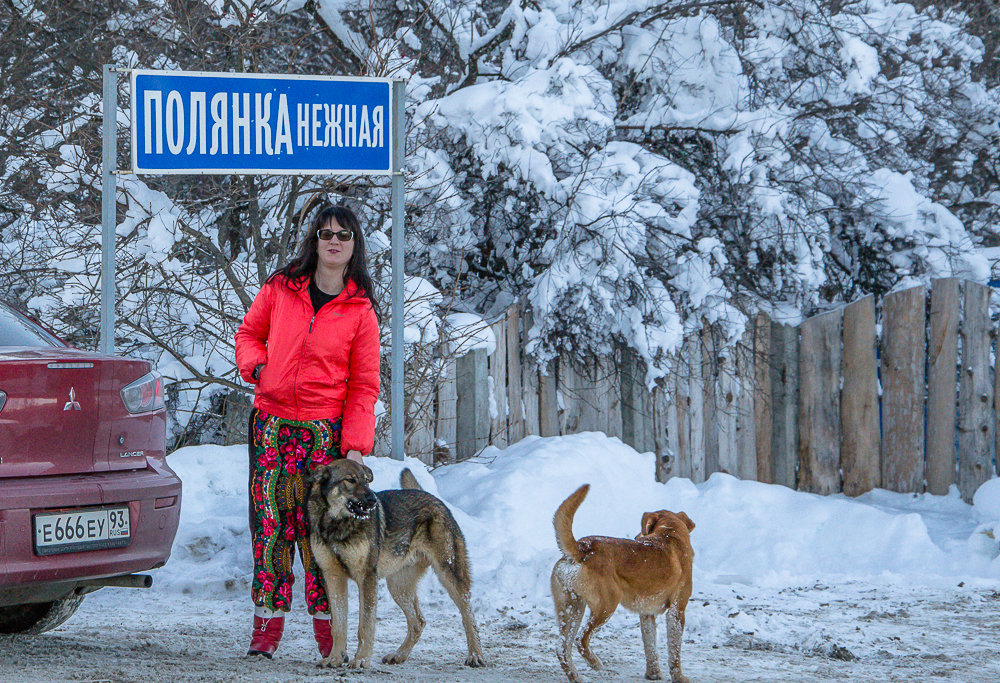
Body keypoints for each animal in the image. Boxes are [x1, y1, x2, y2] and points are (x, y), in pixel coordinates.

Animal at [308, 456, 488, 672]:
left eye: (366, 481)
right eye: (350, 480)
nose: (373, 500)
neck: (338, 525)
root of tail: (432, 497)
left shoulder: (366, 578)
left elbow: (365, 626)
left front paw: (361, 660)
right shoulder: (334, 578)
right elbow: (338, 626)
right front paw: (334, 658)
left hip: (449, 574)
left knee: (468, 614)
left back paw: (476, 655)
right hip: (398, 586)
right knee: (418, 621)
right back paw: (399, 655)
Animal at [548, 484, 696, 680]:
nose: (636, 536)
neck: (669, 533)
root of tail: (582, 548)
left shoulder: (647, 614)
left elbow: (650, 647)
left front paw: (653, 674)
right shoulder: (676, 611)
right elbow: (674, 652)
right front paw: (678, 677)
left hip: (572, 608)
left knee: (562, 648)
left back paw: (577, 677)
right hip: (606, 606)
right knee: (581, 640)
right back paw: (595, 663)